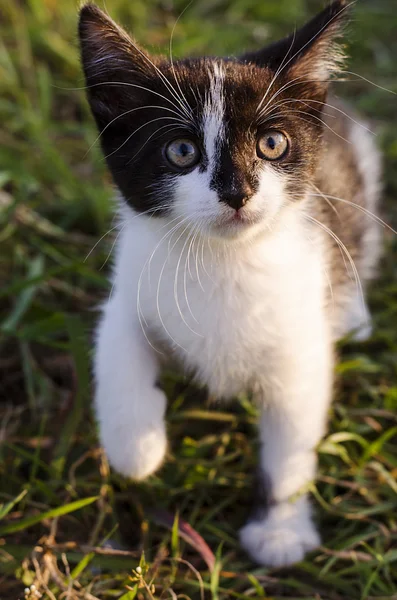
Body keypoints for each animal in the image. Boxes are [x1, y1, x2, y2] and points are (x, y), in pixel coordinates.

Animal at [78, 0, 380, 568]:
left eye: (272, 144)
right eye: (181, 151)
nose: (237, 191)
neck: (224, 259)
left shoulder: (299, 347)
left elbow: (292, 442)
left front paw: (280, 528)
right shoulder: (134, 283)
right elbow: (117, 345)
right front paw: (136, 446)